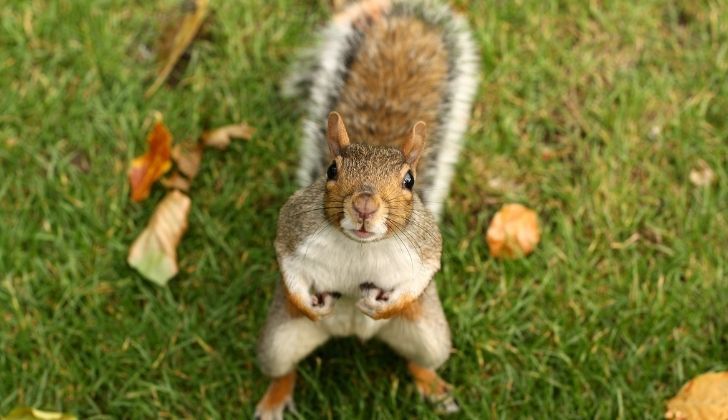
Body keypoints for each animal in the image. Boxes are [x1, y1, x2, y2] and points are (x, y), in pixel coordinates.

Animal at [256, 1, 478, 418]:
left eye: (409, 180)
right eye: (331, 170)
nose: (364, 204)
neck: (360, 246)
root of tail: (348, 333)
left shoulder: (425, 246)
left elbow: (421, 275)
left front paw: (387, 304)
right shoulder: (294, 227)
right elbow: (286, 262)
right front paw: (307, 304)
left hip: (431, 337)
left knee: (420, 360)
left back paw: (433, 387)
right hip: (277, 341)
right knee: (283, 369)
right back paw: (275, 399)